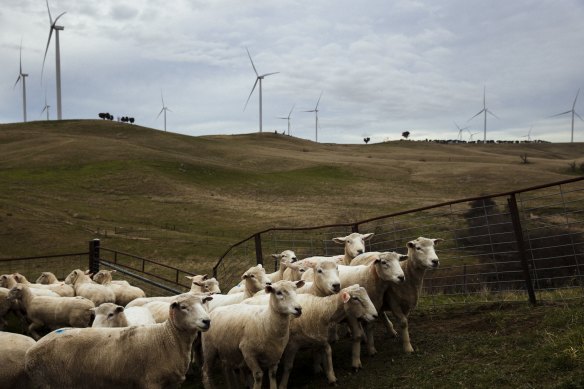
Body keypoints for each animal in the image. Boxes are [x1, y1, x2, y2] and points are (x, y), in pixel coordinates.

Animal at [25, 294, 212, 388]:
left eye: (203, 303)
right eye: (184, 307)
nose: (207, 321)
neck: (168, 337)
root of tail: (31, 351)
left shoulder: (174, 384)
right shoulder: (151, 382)